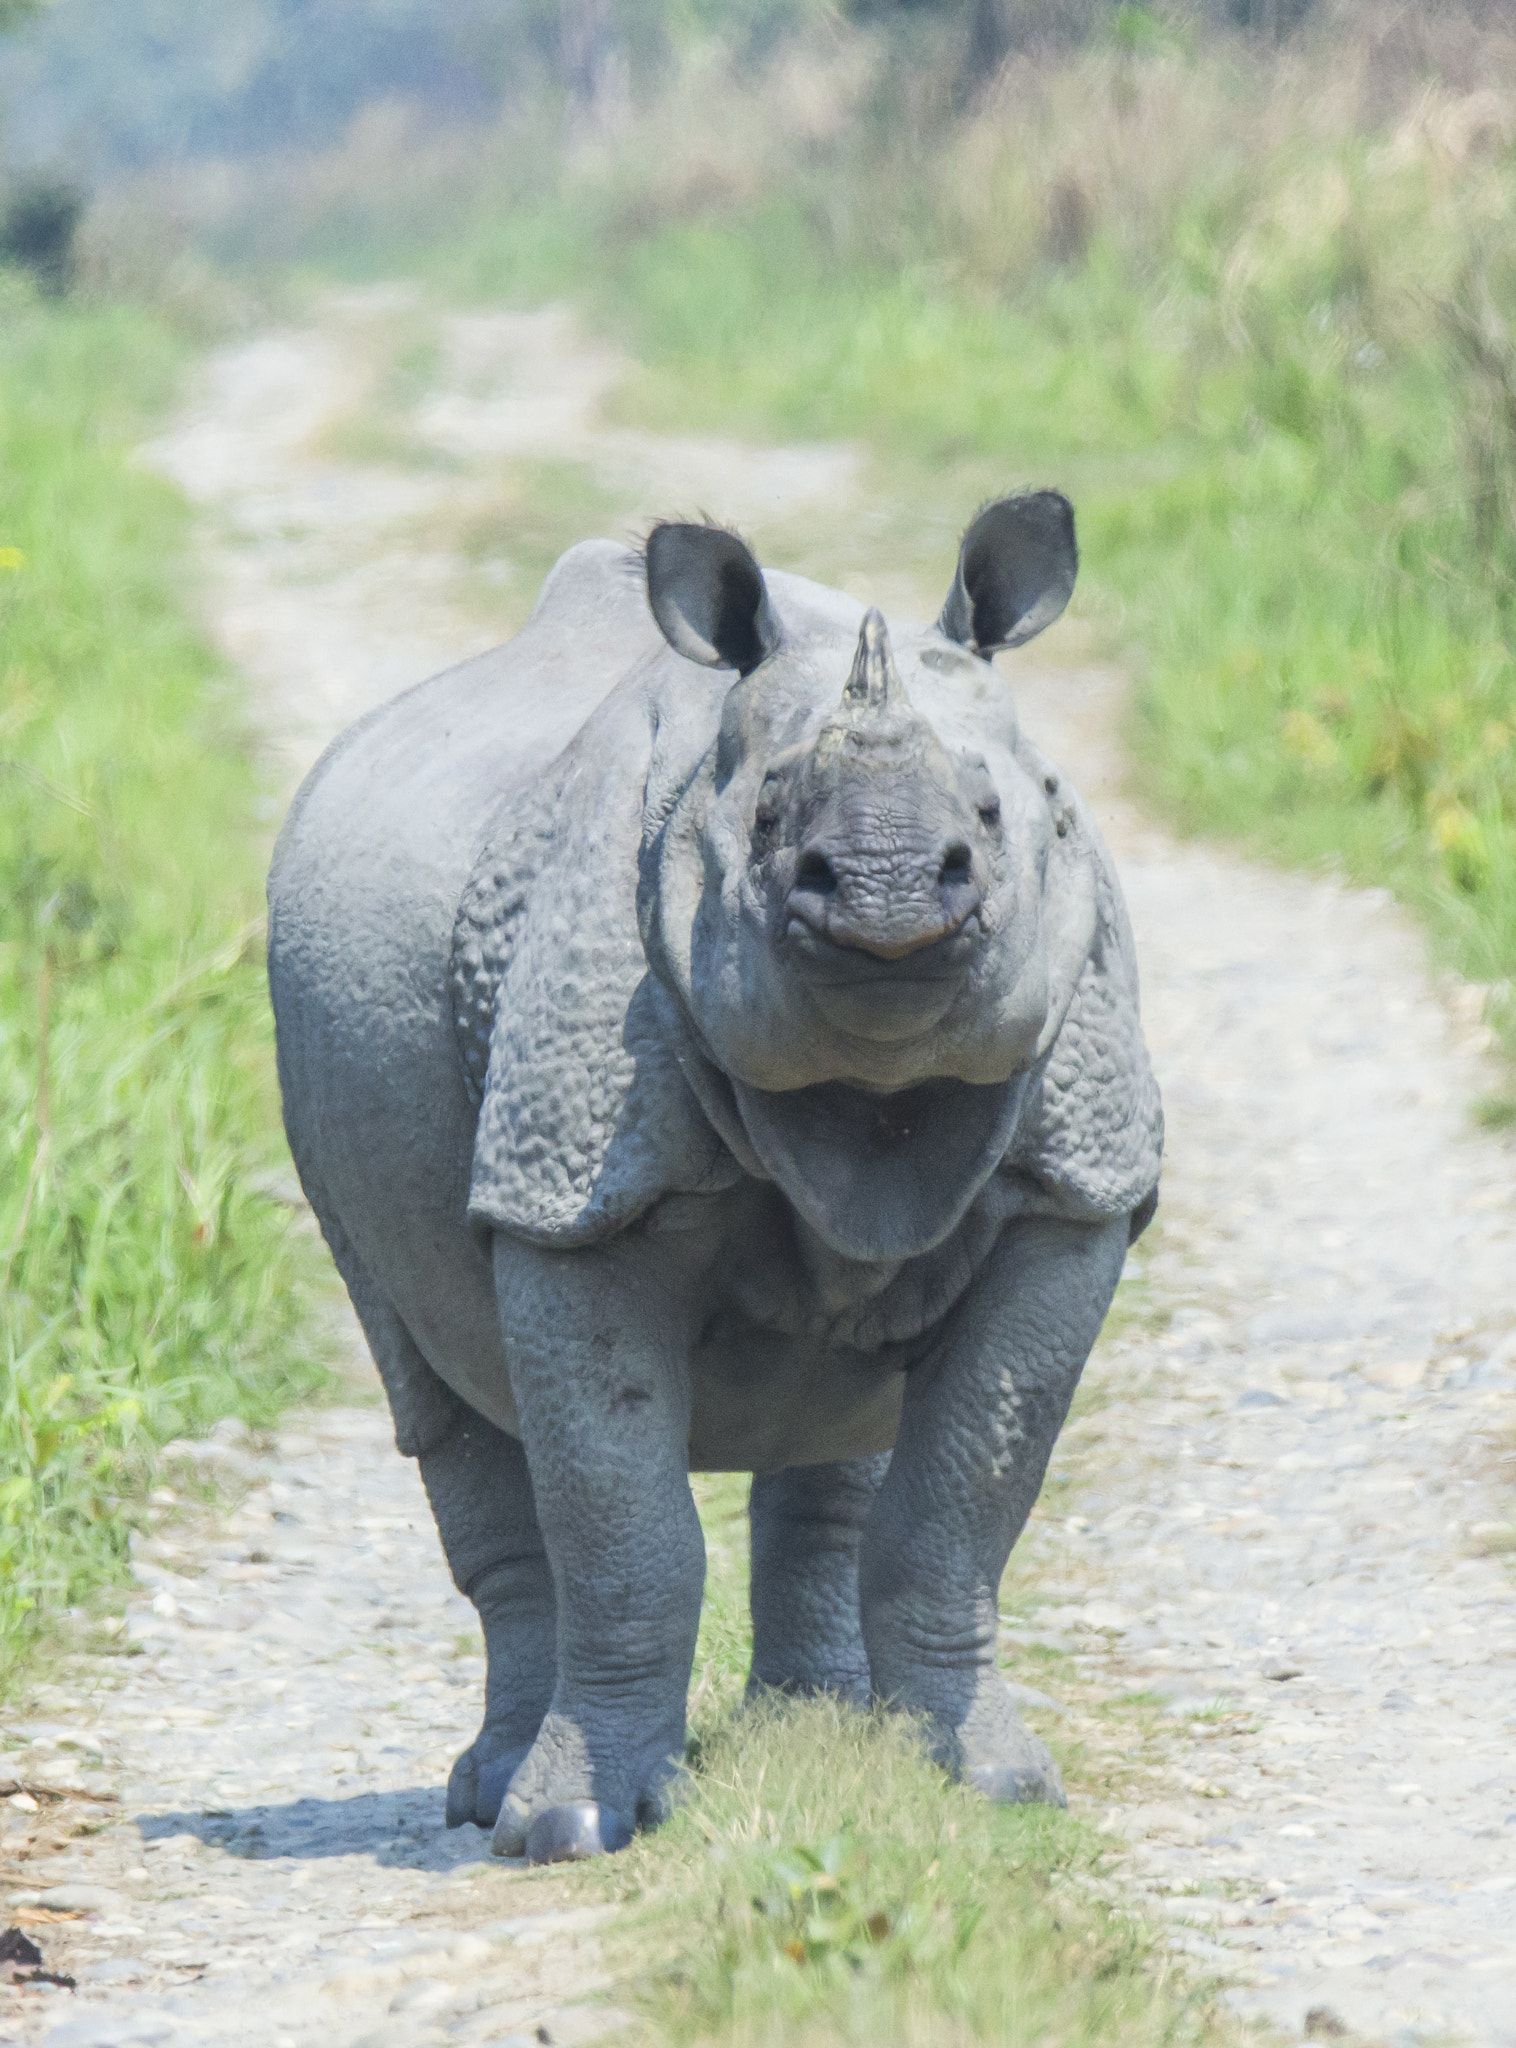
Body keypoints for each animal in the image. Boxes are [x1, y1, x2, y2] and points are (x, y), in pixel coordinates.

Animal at [267, 493, 1162, 1863]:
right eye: (769, 815)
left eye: (998, 813)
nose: (889, 886)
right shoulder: (570, 1194)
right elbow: (623, 1522)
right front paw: (572, 1824)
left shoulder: (1077, 1186)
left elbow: (958, 1504)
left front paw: (992, 1786)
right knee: (429, 1382)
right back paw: (493, 1791)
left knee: (846, 1429)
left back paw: (822, 1737)